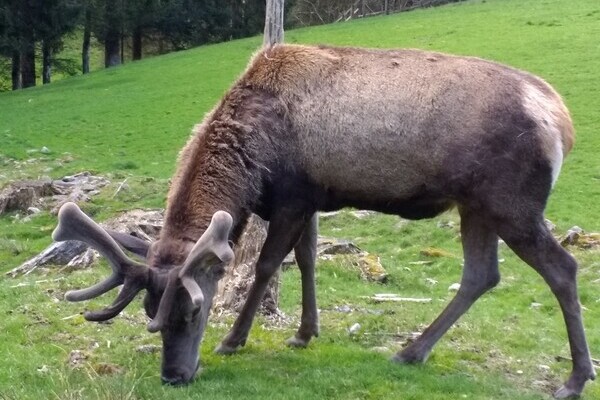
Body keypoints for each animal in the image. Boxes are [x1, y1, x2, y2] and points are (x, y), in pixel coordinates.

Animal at [55, 44, 596, 396]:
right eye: (150, 310)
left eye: (192, 311)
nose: (174, 376)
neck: (254, 162)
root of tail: (563, 121)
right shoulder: (312, 197)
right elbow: (308, 258)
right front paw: (304, 332)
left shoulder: (293, 196)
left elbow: (268, 264)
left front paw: (234, 340)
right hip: (475, 205)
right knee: (482, 274)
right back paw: (411, 351)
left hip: (512, 202)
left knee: (562, 268)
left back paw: (575, 377)